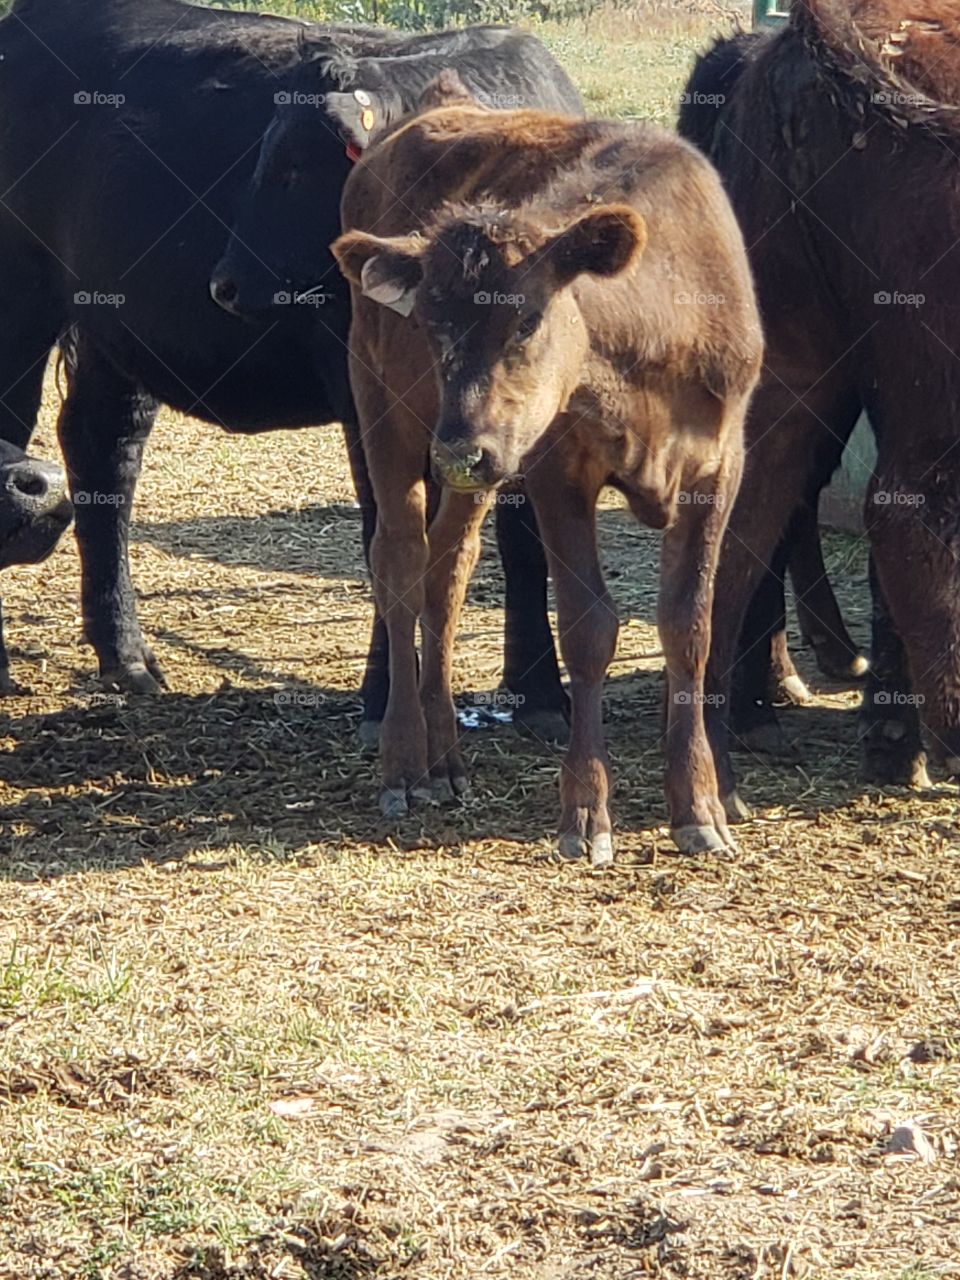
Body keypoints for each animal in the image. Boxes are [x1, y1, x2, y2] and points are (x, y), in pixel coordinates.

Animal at [0, 0, 574, 739]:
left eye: (297, 166)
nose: (226, 284)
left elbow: (526, 538)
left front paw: (539, 691)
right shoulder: (370, 401)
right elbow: (391, 535)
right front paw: (386, 699)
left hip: (113, 326)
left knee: (103, 452)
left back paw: (126, 657)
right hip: (18, 306)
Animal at [333, 89, 763, 861]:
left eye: (527, 320)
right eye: (430, 325)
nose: (457, 452)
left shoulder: (718, 468)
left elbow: (690, 627)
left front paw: (699, 805)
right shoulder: (559, 467)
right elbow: (589, 630)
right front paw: (586, 813)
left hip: (476, 466)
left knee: (447, 570)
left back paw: (446, 758)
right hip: (386, 406)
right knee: (401, 561)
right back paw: (406, 762)